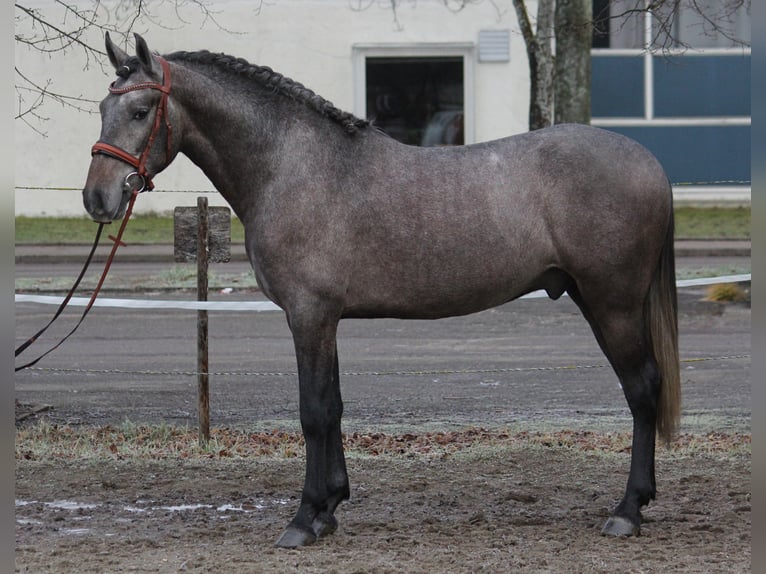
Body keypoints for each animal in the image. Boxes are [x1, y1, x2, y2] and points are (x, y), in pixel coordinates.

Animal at [84, 33, 680, 552]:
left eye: (141, 112)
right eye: (102, 108)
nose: (97, 198)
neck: (291, 166)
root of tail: (650, 163)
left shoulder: (309, 315)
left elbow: (313, 411)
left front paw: (303, 519)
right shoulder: (326, 319)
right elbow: (334, 405)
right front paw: (328, 509)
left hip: (613, 304)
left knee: (642, 388)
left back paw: (628, 510)